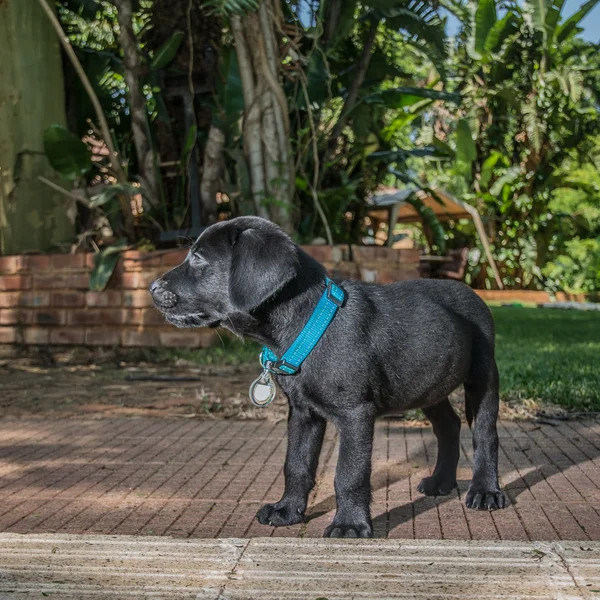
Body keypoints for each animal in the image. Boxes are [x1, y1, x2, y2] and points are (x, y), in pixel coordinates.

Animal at [149, 217, 502, 540]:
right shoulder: (303, 413)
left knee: (485, 433)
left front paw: (350, 524)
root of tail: (472, 292)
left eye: (198, 258)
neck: (307, 322)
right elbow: (296, 465)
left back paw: (485, 490)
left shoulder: (355, 414)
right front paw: (287, 510)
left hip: (483, 376)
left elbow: (349, 473)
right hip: (427, 386)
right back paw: (441, 482)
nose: (152, 288)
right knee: (449, 425)